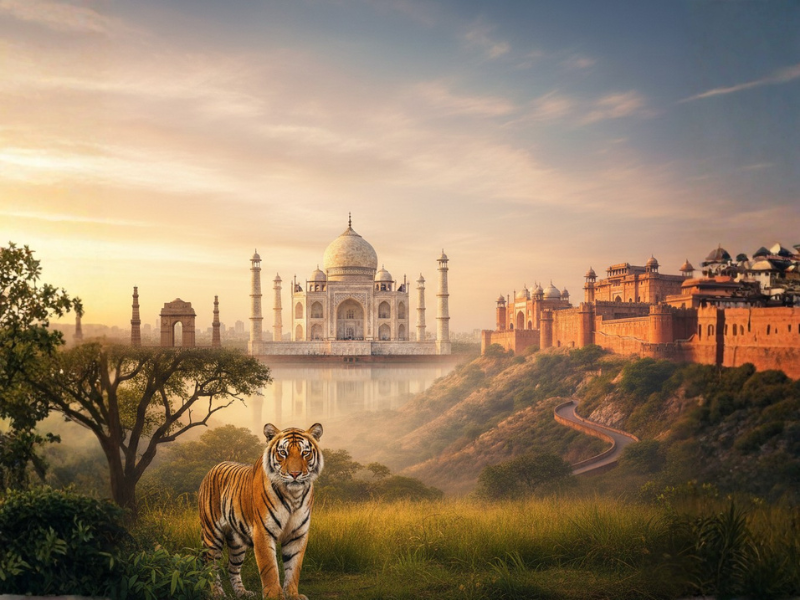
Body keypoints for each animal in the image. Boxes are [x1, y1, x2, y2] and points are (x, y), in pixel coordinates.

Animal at [198, 423, 324, 599]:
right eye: (283, 453)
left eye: (305, 453)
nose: (295, 474)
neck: (293, 495)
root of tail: (213, 467)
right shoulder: (263, 531)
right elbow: (269, 568)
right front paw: (274, 596)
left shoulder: (297, 534)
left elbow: (294, 567)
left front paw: (292, 594)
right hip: (212, 534)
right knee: (211, 565)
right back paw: (217, 593)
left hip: (236, 542)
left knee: (232, 567)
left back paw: (242, 593)